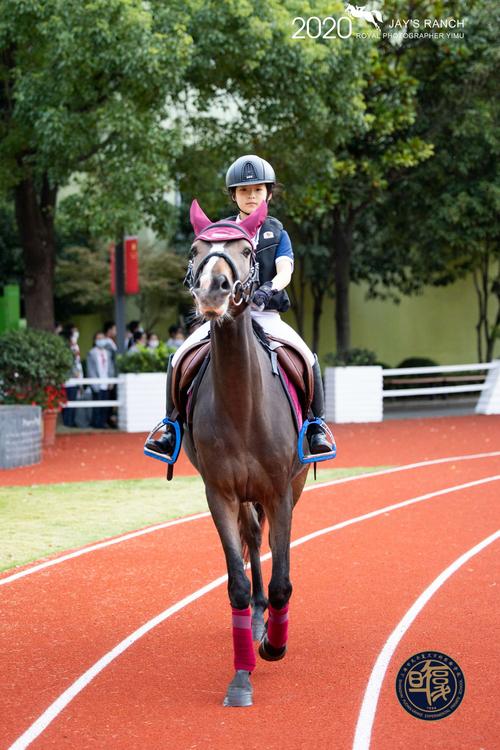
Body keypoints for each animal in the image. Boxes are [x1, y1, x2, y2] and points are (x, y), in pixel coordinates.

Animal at [182, 197, 310, 708]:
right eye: (196, 249)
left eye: (245, 249)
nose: (213, 290)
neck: (241, 403)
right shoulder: (219, 494)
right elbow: (237, 584)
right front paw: (241, 677)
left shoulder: (279, 491)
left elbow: (283, 581)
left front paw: (274, 645)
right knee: (254, 540)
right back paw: (257, 617)